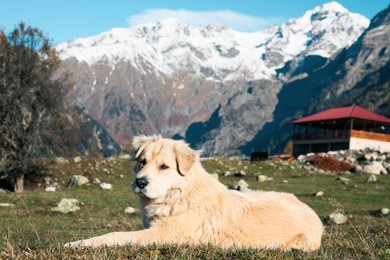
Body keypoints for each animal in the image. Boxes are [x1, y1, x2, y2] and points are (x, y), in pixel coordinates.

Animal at [64, 135, 322, 251]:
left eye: (164, 167)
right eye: (142, 162)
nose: (140, 182)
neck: (178, 195)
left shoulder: (164, 234)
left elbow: (114, 235)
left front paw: (76, 243)